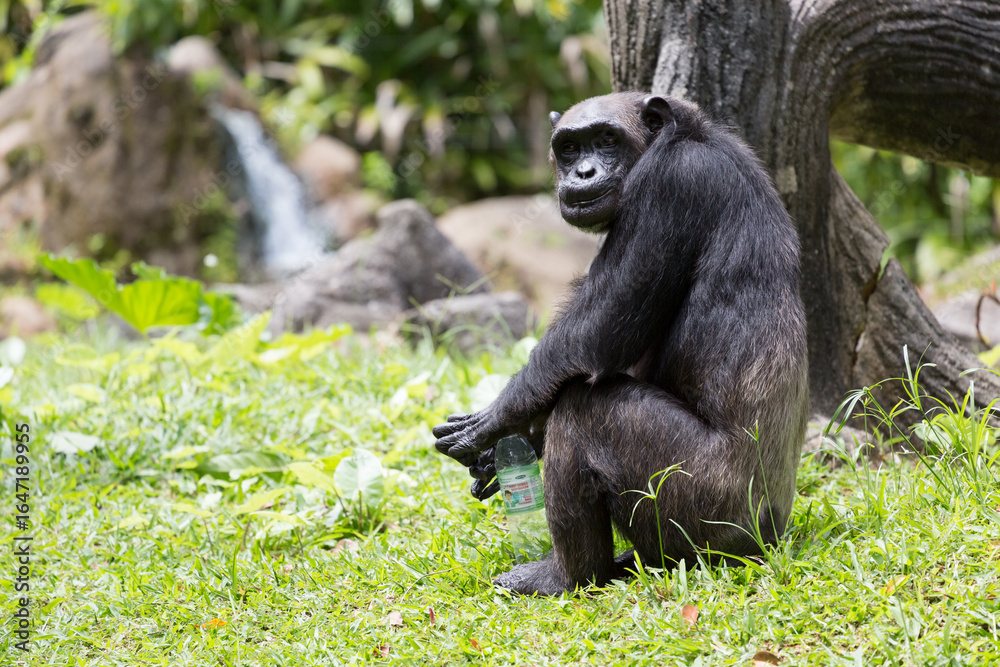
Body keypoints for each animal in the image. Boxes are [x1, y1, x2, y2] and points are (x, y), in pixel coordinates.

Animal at [433, 92, 809, 595]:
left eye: (607, 140)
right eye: (570, 147)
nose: (582, 171)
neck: (683, 137)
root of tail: (770, 538)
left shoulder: (670, 185)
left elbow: (597, 329)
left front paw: (494, 420)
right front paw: (505, 450)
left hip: (703, 508)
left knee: (585, 409)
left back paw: (565, 574)